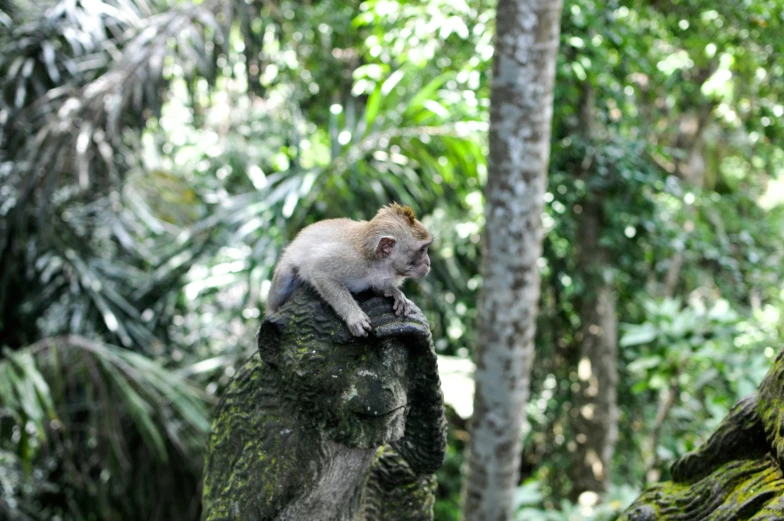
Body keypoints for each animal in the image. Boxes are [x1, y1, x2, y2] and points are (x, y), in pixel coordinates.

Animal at [266, 201, 432, 336]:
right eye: (422, 250)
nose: (428, 262)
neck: (377, 264)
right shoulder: (351, 262)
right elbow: (319, 271)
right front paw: (354, 316)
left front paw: (393, 292)